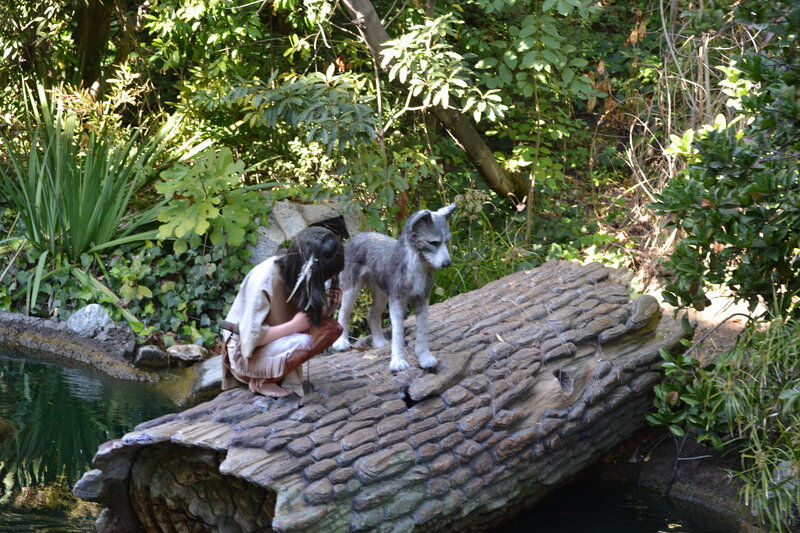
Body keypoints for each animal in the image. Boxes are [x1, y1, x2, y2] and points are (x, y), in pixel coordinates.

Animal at [332, 204, 456, 371]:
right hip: (352, 288)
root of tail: (356, 237)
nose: (447, 264)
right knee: (344, 313)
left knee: (372, 314)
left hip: (381, 293)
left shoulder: (422, 300)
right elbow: (398, 332)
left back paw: (379, 342)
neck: (416, 266)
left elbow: (422, 331)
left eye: (446, 241)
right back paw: (341, 342)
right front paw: (398, 361)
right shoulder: (397, 301)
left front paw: (425, 357)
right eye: (433, 243)